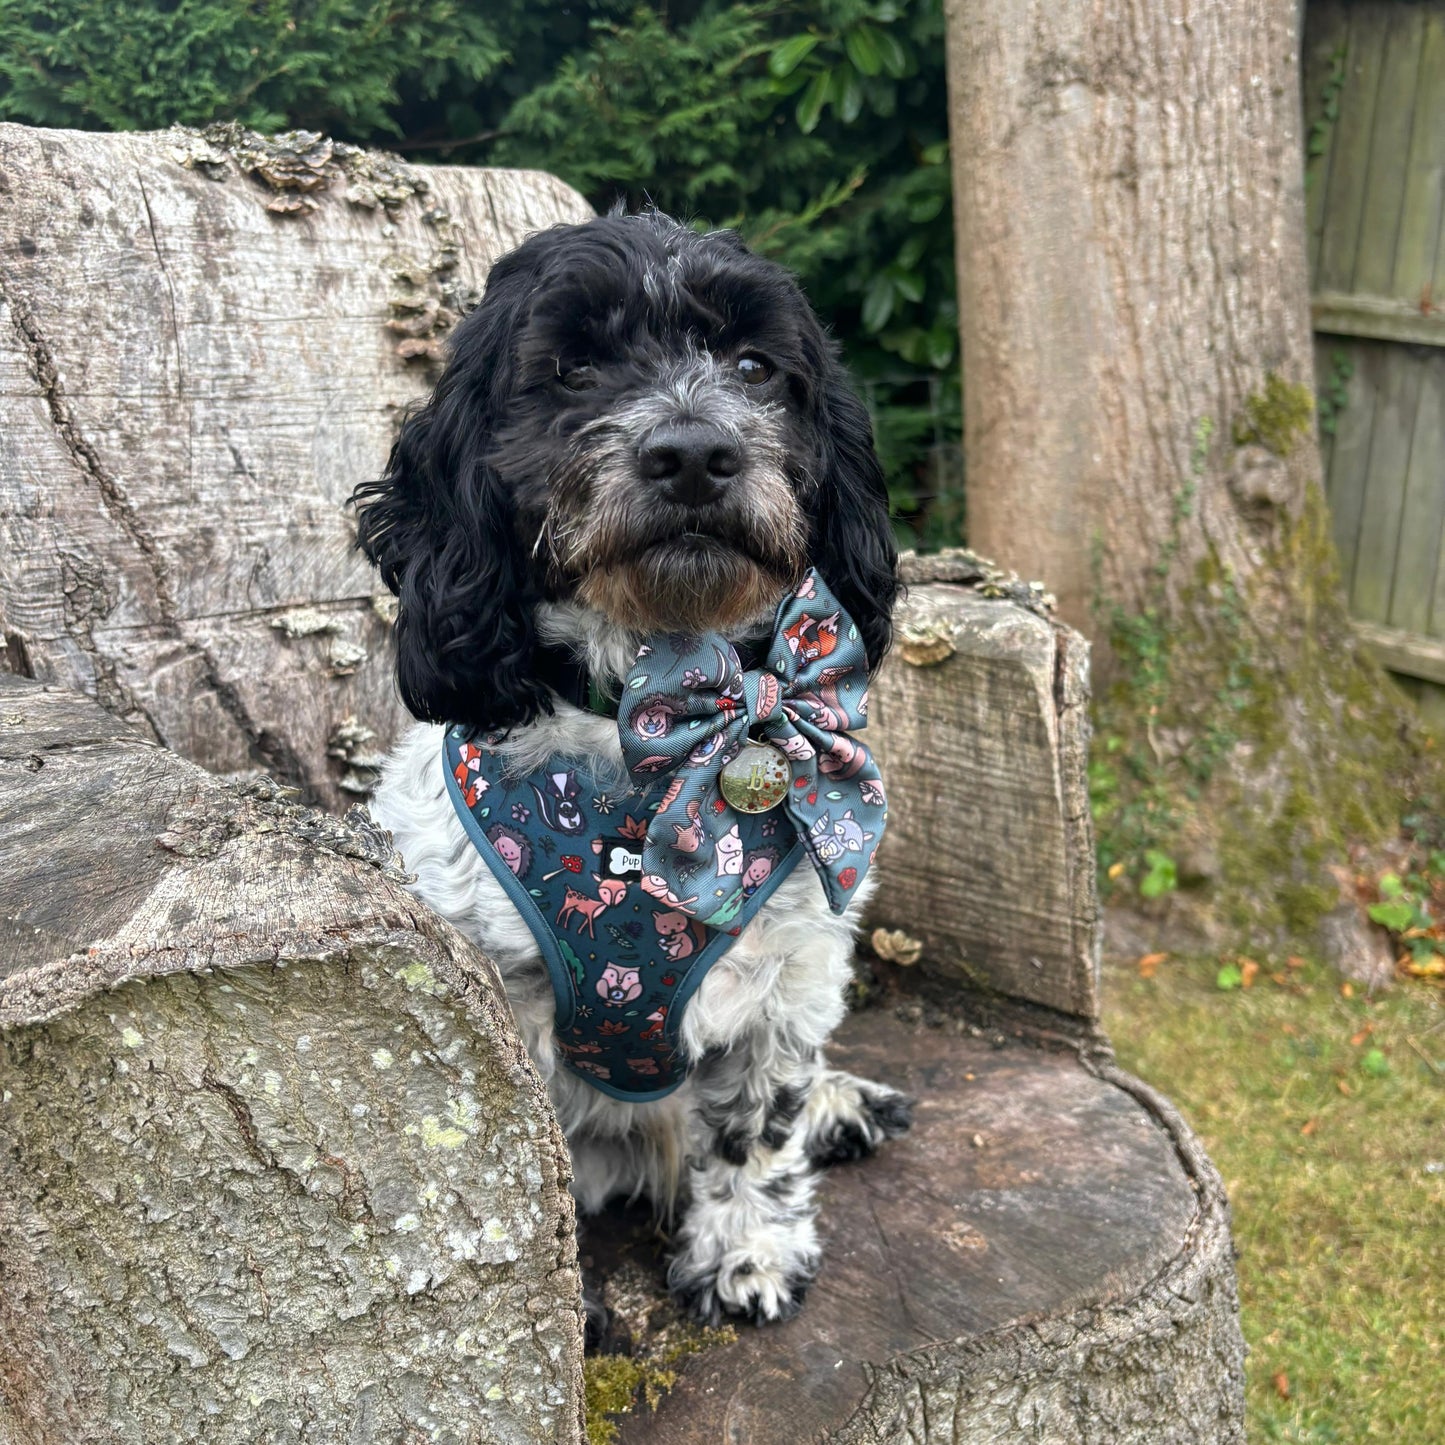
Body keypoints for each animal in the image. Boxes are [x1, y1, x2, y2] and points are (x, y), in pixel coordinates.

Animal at [354, 209, 907, 1323]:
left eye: (754, 365)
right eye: (572, 369)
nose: (693, 451)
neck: (651, 716)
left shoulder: (786, 978)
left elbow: (758, 1127)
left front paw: (748, 1254)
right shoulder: (497, 1007)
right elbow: (520, 1169)